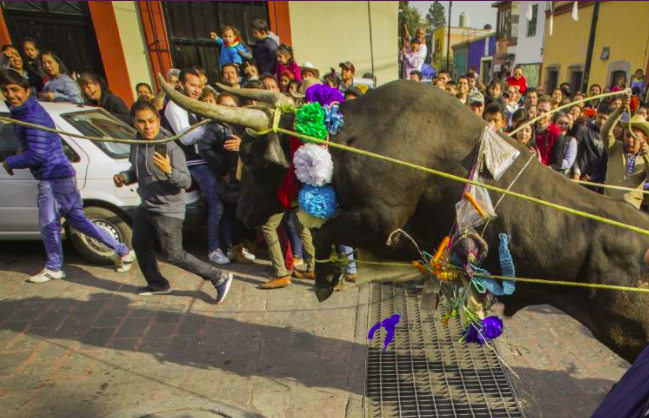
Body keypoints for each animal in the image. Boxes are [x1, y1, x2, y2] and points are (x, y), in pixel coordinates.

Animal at [161, 78, 648, 362]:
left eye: (251, 155)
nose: (242, 214)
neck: (352, 135)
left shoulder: (381, 222)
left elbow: (328, 233)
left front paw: (323, 282)